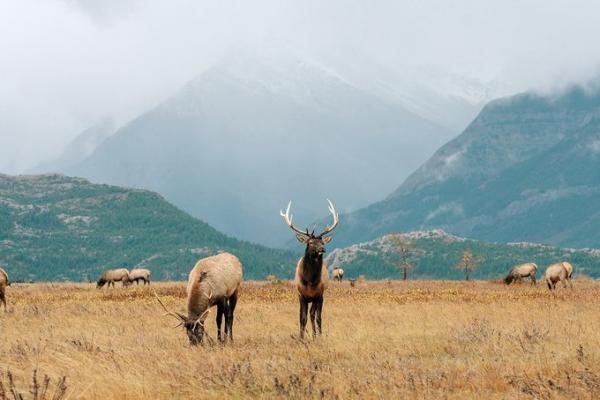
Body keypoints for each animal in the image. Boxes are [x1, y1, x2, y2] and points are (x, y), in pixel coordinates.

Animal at [280, 199, 338, 338]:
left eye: (322, 242)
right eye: (310, 242)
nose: (322, 249)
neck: (310, 281)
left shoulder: (319, 295)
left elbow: (317, 317)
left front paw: (318, 336)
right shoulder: (301, 295)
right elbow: (302, 318)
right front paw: (301, 337)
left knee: (313, 314)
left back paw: (315, 335)